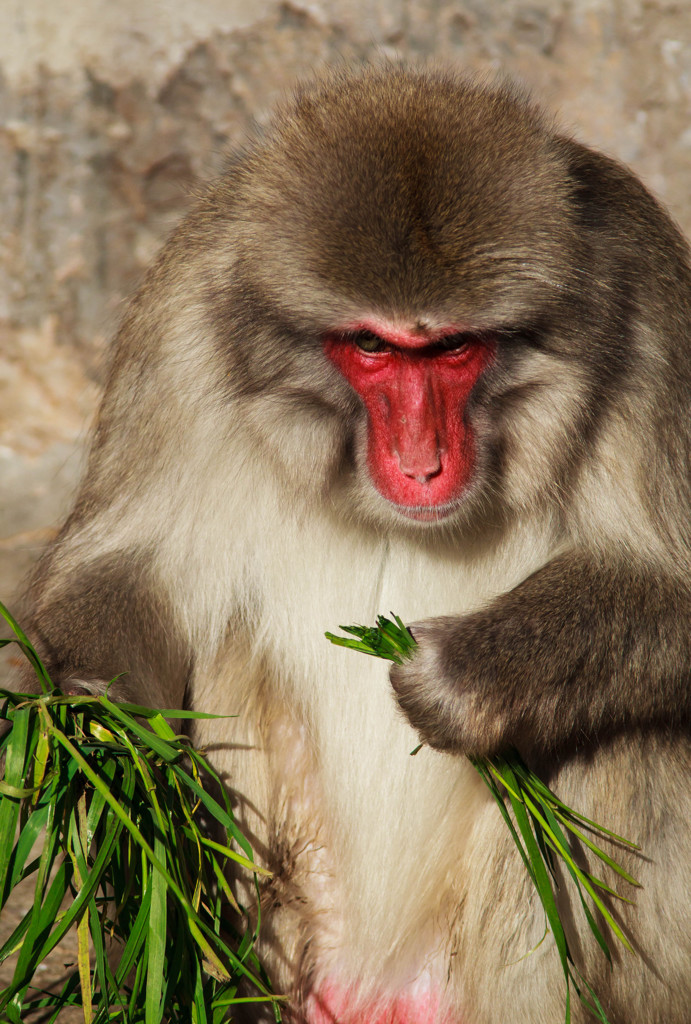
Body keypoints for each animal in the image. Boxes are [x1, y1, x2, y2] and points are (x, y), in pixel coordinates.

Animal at [17, 66, 691, 1024]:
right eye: (372, 345)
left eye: (452, 347)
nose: (421, 463)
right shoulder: (183, 321)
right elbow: (123, 564)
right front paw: (117, 751)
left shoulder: (649, 316)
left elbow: (669, 582)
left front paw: (463, 677)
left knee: (614, 737)